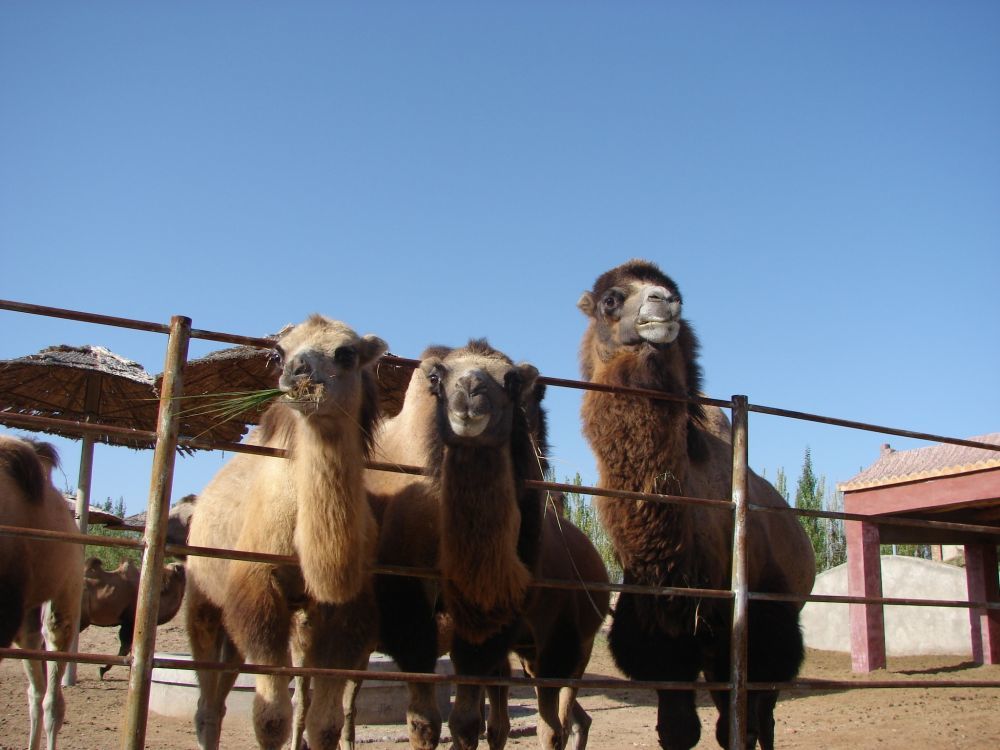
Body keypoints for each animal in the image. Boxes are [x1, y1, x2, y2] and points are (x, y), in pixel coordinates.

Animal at [186, 318, 388, 750]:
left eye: (346, 352)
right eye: (279, 352)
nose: (297, 372)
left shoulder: (347, 608)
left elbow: (324, 723)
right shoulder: (257, 590)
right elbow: (270, 719)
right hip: (202, 597)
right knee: (206, 701)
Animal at [576, 260, 816, 750]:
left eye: (676, 295)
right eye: (611, 299)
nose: (663, 301)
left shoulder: (745, 634)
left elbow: (735, 728)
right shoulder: (662, 639)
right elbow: (678, 730)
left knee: (764, 716)